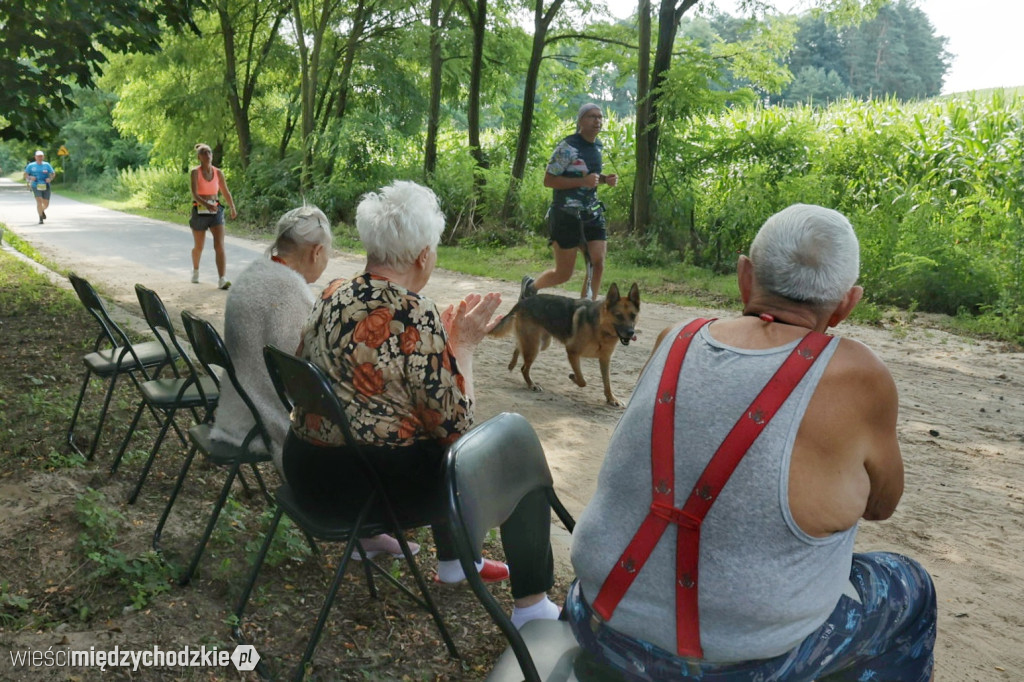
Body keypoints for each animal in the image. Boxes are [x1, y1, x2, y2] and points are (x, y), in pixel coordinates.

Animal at [487, 280, 638, 403]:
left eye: (633, 316)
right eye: (618, 316)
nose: (631, 333)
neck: (600, 328)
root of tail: (524, 301)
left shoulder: (605, 359)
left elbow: (607, 382)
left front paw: (611, 399)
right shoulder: (572, 352)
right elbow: (582, 381)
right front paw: (573, 377)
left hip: (541, 343)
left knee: (519, 345)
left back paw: (512, 364)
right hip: (534, 346)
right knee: (524, 367)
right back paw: (532, 385)